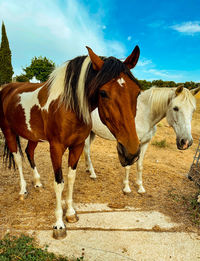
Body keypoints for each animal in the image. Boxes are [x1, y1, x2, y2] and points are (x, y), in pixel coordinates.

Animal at [0, 46, 141, 238]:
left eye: (137, 92)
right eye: (103, 93)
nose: (131, 151)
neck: (68, 106)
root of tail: (7, 88)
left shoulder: (78, 146)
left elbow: (71, 178)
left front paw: (71, 213)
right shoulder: (56, 148)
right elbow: (59, 183)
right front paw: (59, 224)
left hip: (33, 136)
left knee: (29, 152)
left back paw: (37, 182)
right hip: (8, 131)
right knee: (18, 158)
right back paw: (23, 190)